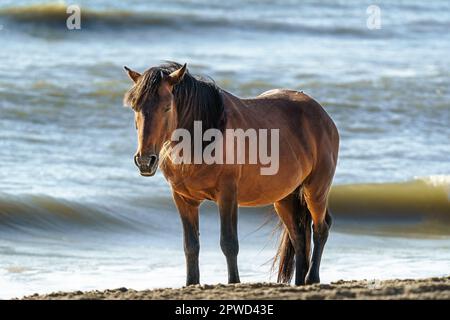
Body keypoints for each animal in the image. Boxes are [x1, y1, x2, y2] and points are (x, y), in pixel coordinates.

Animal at [123, 62, 338, 284]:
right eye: (135, 107)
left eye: (167, 107)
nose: (145, 161)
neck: (204, 138)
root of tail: (322, 115)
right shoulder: (183, 199)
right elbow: (190, 246)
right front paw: (191, 282)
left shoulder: (227, 195)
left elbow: (229, 243)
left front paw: (233, 281)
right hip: (284, 198)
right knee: (298, 237)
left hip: (316, 190)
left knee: (320, 228)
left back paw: (312, 278)